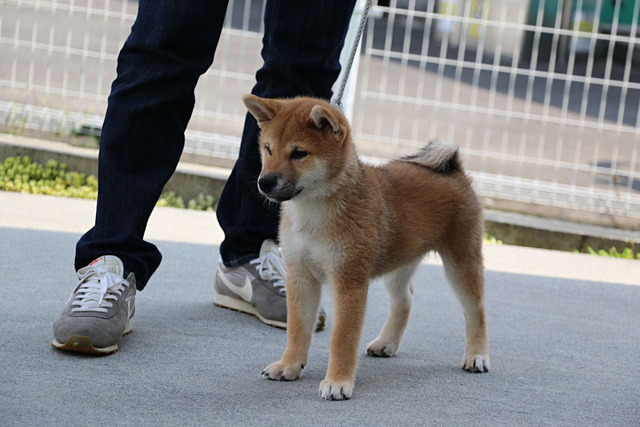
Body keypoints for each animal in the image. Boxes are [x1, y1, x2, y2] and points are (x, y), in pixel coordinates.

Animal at [241, 93, 490, 402]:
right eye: (268, 149)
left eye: (299, 153)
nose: (264, 182)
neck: (313, 214)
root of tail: (454, 169)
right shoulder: (300, 275)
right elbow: (297, 329)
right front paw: (289, 366)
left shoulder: (349, 281)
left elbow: (342, 339)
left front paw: (338, 382)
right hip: (398, 263)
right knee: (405, 300)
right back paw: (386, 343)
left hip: (461, 261)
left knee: (475, 310)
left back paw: (477, 355)